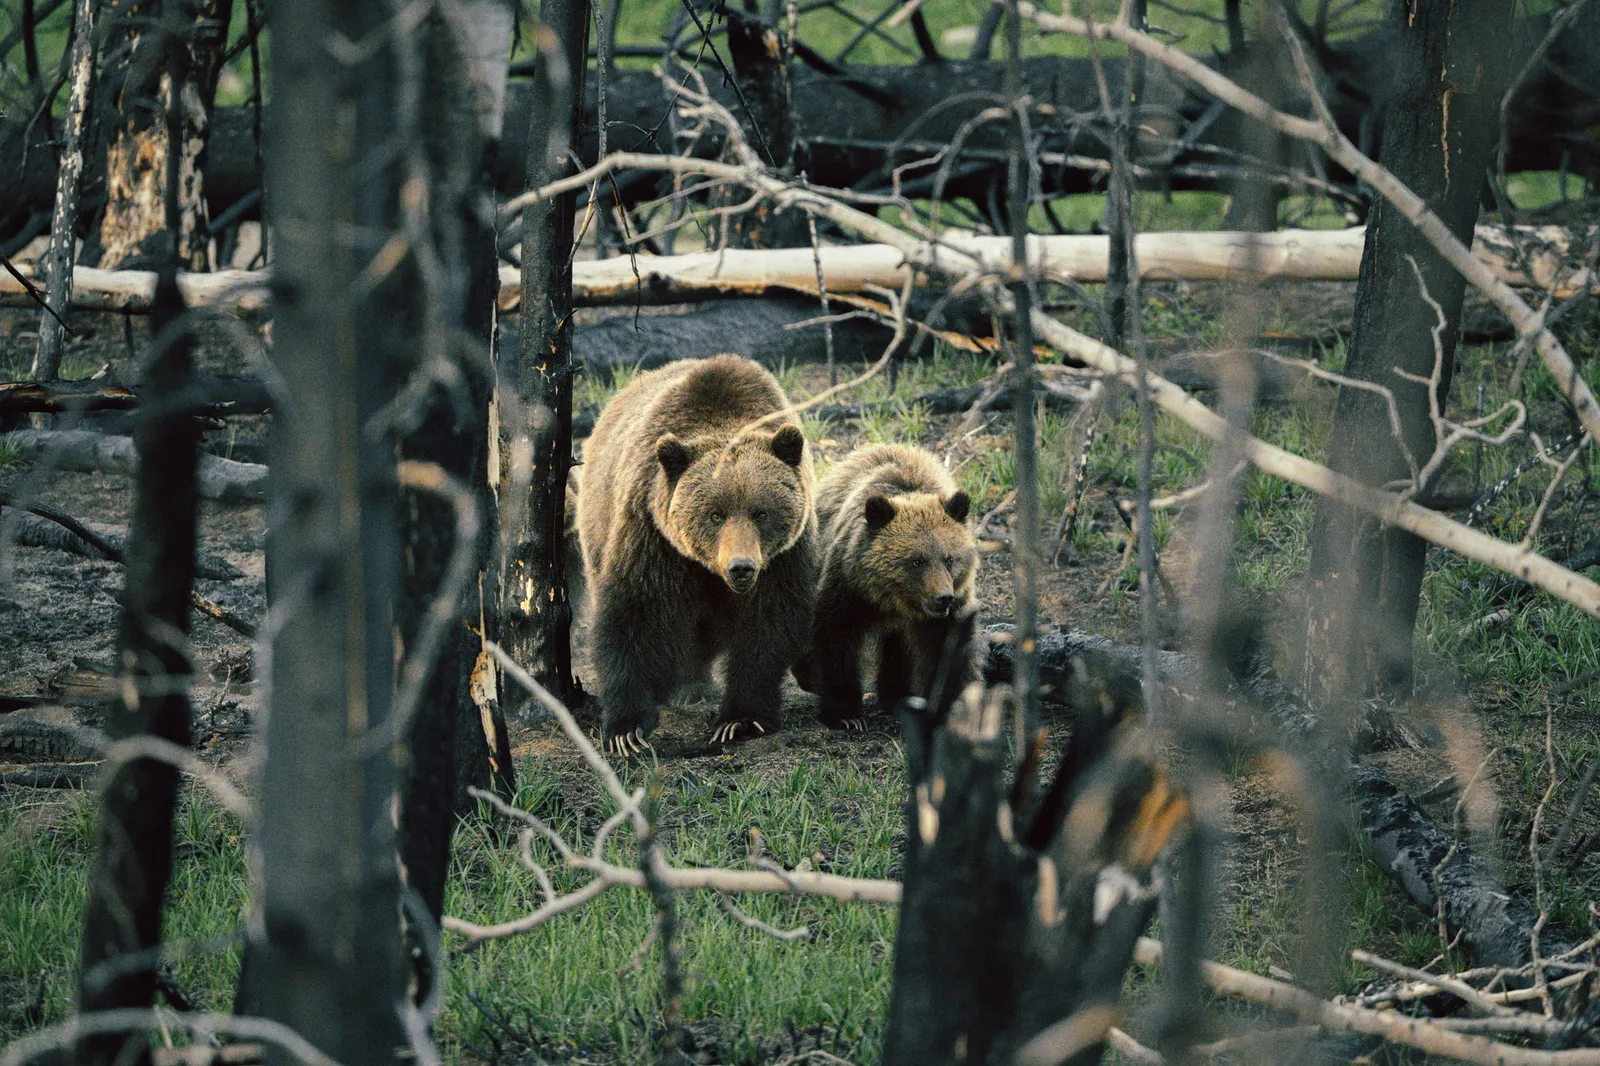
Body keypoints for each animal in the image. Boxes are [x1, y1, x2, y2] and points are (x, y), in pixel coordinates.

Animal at [576, 355, 817, 754]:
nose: (741, 567)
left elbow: (768, 625)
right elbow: (633, 614)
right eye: (715, 514)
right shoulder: (652, 536)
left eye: (761, 512)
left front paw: (738, 720)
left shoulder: (783, 557)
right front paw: (626, 729)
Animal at [799, 442, 982, 729]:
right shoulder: (848, 588)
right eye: (917, 560)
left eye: (950, 558)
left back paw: (896, 697)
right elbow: (836, 636)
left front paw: (946, 709)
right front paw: (845, 714)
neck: (895, 600)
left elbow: (947, 651)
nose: (943, 597)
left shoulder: (950, 611)